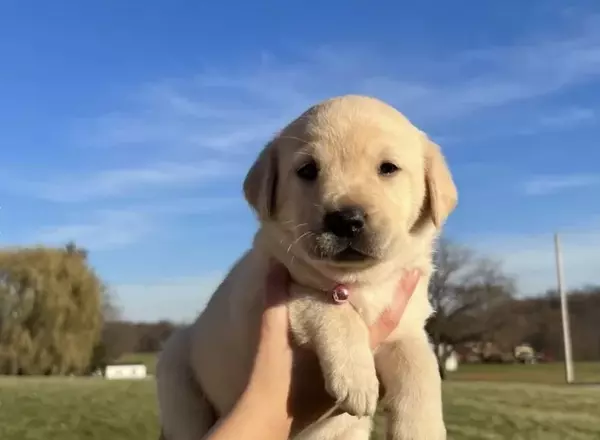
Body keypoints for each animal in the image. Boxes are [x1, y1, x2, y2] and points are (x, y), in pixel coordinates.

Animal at [156, 95, 460, 440]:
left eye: (388, 168)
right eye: (308, 170)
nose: (346, 220)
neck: (358, 280)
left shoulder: (407, 324)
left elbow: (422, 367)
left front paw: (421, 428)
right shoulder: (269, 289)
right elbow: (325, 304)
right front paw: (357, 377)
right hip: (176, 370)